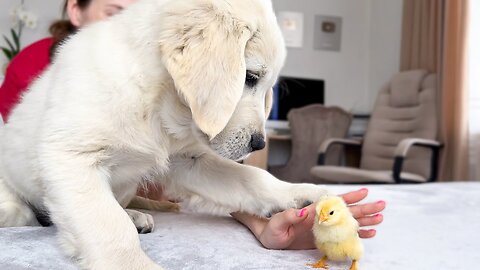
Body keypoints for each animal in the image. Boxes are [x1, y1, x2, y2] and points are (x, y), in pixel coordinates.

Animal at [0, 0, 330, 268]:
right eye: (250, 77)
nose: (259, 143)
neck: (157, 106)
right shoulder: (71, 156)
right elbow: (109, 226)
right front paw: (133, 264)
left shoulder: (189, 160)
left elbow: (253, 179)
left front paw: (301, 193)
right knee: (24, 211)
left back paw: (135, 216)